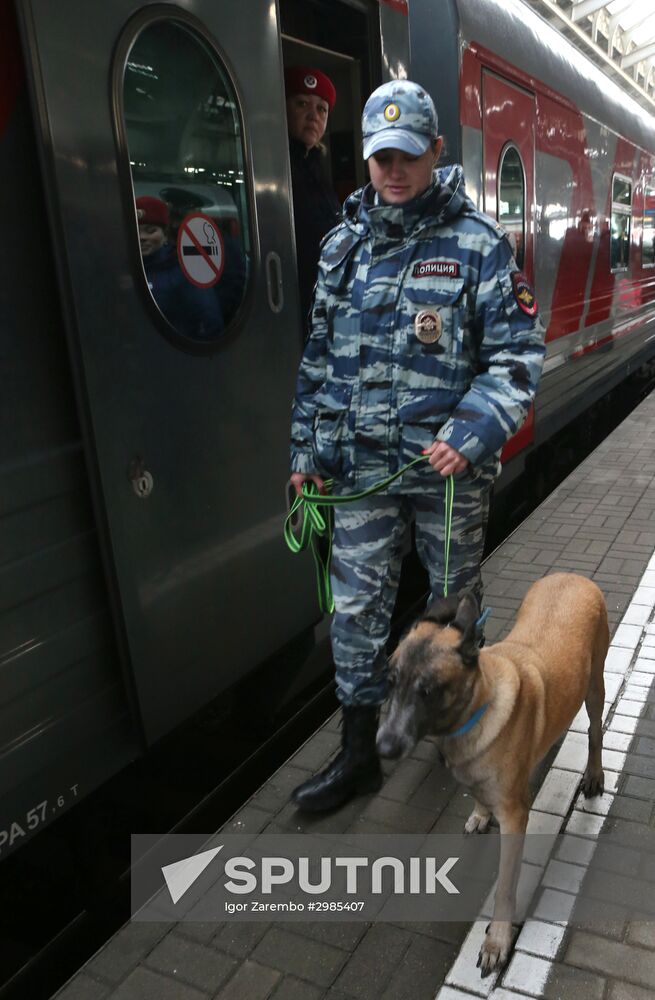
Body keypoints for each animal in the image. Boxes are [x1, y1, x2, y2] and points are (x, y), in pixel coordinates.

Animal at [376, 576, 608, 972]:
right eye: (390, 682)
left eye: (428, 691)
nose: (384, 747)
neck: (474, 711)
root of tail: (573, 576)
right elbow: (477, 794)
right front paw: (480, 815)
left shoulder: (515, 817)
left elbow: (504, 886)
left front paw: (497, 940)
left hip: (595, 685)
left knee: (594, 732)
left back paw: (594, 773)